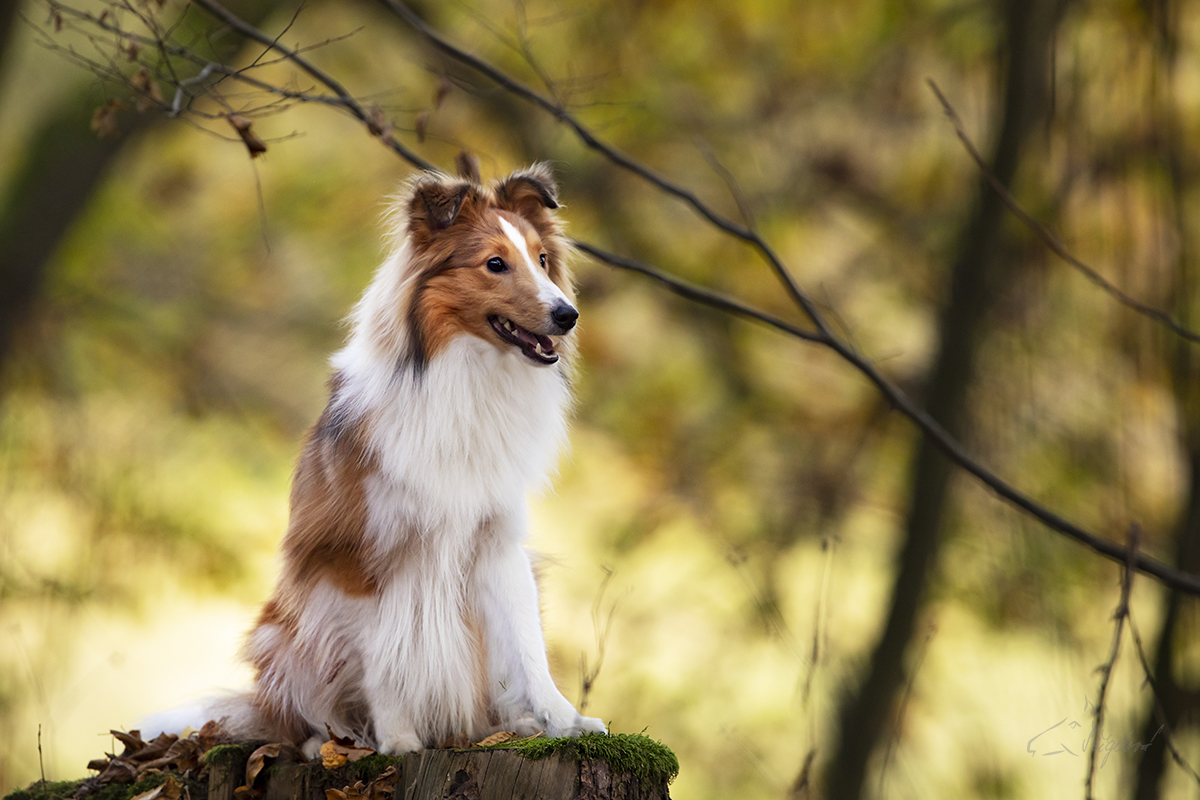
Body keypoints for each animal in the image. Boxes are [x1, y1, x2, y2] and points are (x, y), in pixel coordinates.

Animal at [145, 160, 604, 758]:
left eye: (543, 259)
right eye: (495, 264)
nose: (568, 315)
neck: (464, 375)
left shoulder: (498, 547)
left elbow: (529, 650)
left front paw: (565, 721)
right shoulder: (359, 558)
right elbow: (384, 660)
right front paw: (399, 740)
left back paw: (505, 727)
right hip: (283, 633)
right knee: (296, 718)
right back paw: (330, 744)